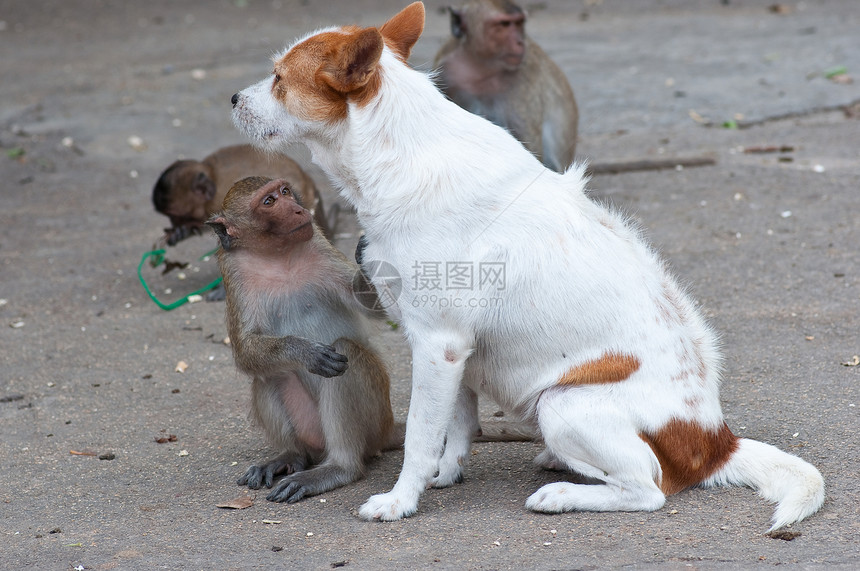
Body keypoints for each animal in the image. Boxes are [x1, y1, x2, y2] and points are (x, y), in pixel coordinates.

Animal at [434, 0, 580, 172]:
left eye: (519, 23)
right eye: (504, 24)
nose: (520, 42)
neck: (481, 68)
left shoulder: (522, 81)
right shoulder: (445, 71)